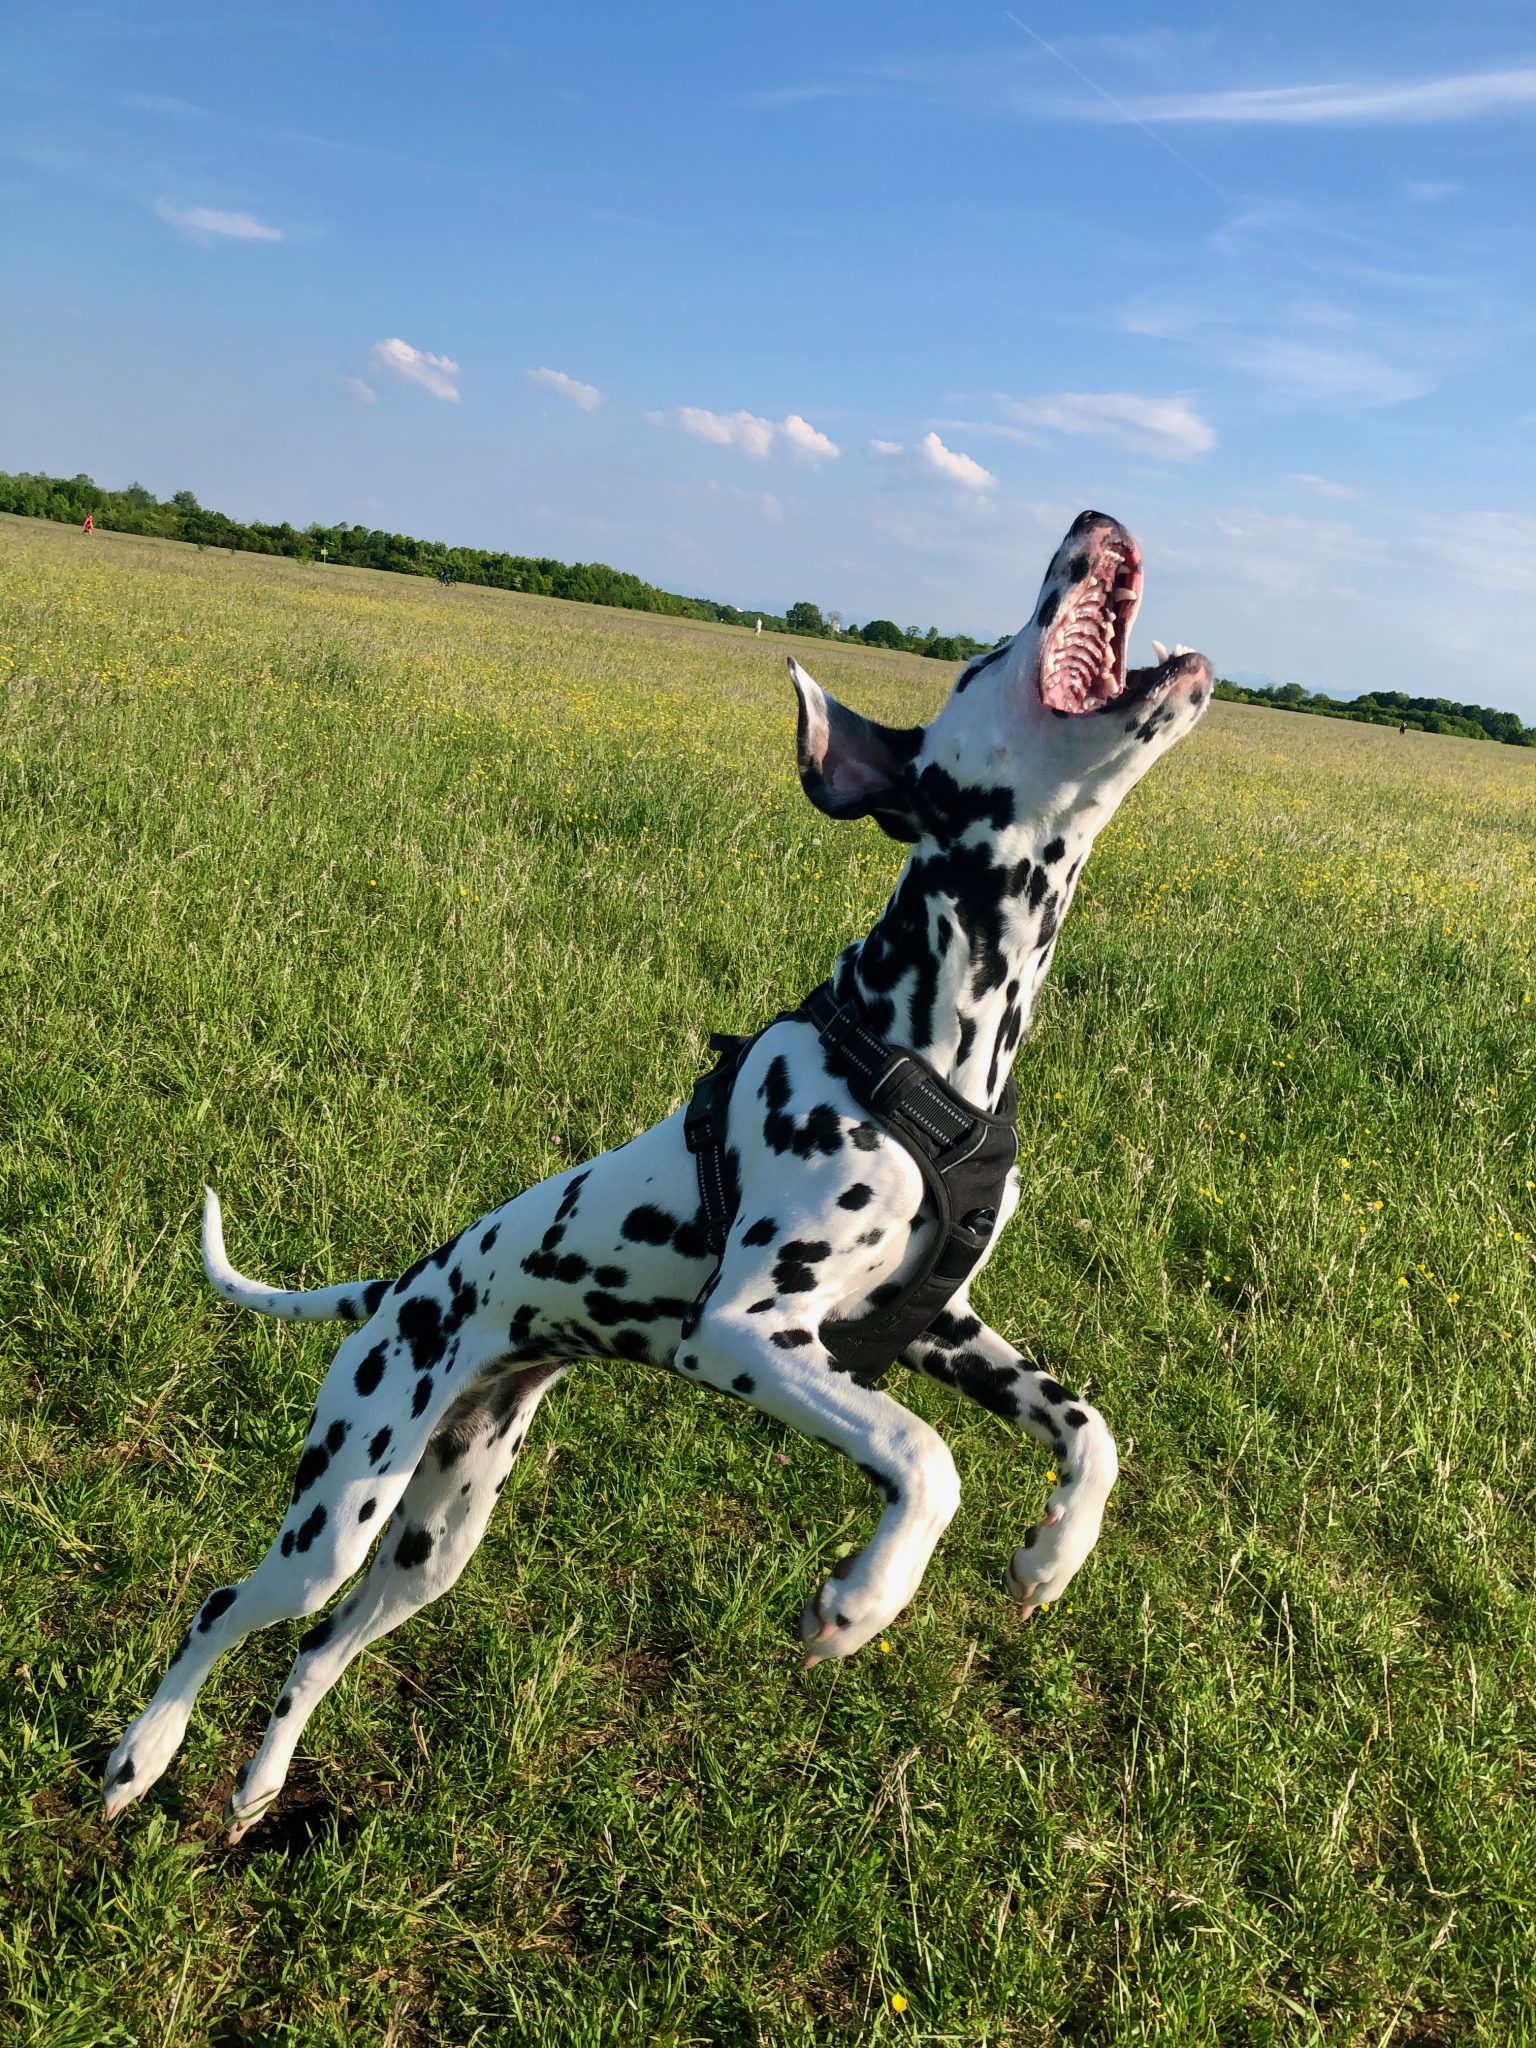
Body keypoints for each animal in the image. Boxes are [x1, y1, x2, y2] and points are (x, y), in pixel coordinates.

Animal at [105, 512, 1212, 1843]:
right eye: (984, 656)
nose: (1092, 521)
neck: (928, 1047)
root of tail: (405, 1283)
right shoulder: (746, 1329)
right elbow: (925, 1457)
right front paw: (862, 1600)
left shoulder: (939, 1319)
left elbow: (1088, 1427)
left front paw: (1052, 1553)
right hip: (341, 1507)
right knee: (226, 1604)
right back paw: (141, 1756)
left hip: (435, 1535)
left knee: (319, 1649)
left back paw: (258, 1786)